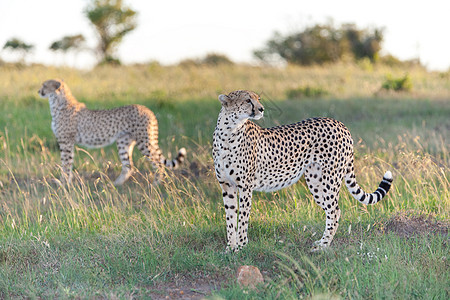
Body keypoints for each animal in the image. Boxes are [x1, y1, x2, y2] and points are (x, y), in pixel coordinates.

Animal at [38, 77, 186, 185]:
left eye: (44, 85)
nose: (39, 91)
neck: (58, 103)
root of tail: (147, 109)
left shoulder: (66, 142)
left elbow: (66, 163)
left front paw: (63, 183)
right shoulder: (67, 142)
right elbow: (67, 163)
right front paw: (65, 182)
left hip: (144, 141)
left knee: (157, 163)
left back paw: (156, 184)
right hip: (124, 141)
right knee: (128, 166)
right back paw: (115, 184)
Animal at [213, 90, 392, 252]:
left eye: (258, 99)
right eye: (247, 100)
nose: (261, 109)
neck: (228, 132)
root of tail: (338, 123)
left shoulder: (245, 186)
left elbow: (243, 217)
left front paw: (241, 246)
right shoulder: (227, 185)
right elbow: (230, 217)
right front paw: (230, 247)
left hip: (329, 180)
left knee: (335, 211)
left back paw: (323, 245)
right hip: (315, 182)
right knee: (332, 210)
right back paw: (322, 241)